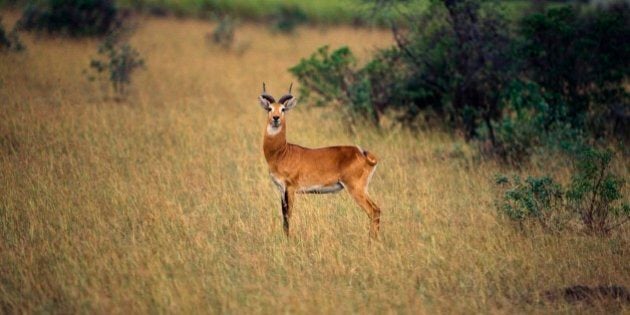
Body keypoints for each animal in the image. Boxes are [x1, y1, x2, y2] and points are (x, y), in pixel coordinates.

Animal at [260, 83, 382, 239]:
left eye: (283, 109)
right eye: (269, 108)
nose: (275, 118)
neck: (282, 153)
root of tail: (363, 153)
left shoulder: (291, 188)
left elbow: (288, 216)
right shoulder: (281, 189)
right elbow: (284, 217)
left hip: (356, 188)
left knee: (374, 210)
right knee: (376, 210)